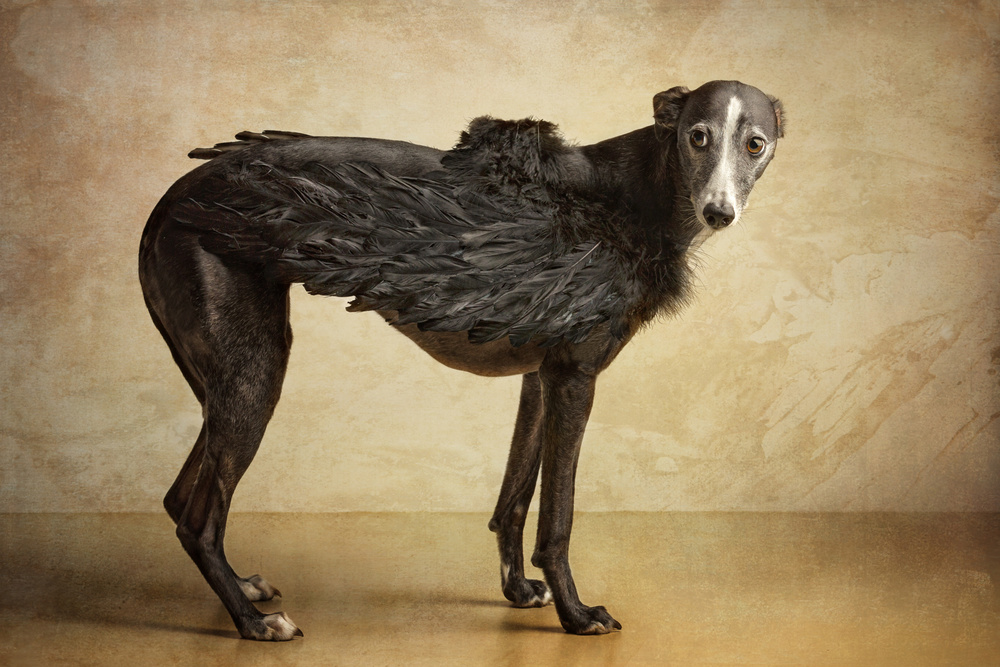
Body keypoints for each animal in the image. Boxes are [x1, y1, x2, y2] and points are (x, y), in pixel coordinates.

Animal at [138, 80, 783, 640]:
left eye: (755, 143)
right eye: (697, 136)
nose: (719, 212)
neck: (635, 192)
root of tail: (170, 199)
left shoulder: (540, 378)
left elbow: (514, 501)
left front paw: (519, 590)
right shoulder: (575, 378)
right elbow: (558, 518)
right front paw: (576, 616)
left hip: (228, 381)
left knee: (180, 499)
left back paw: (243, 589)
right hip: (255, 371)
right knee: (198, 519)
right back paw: (252, 624)